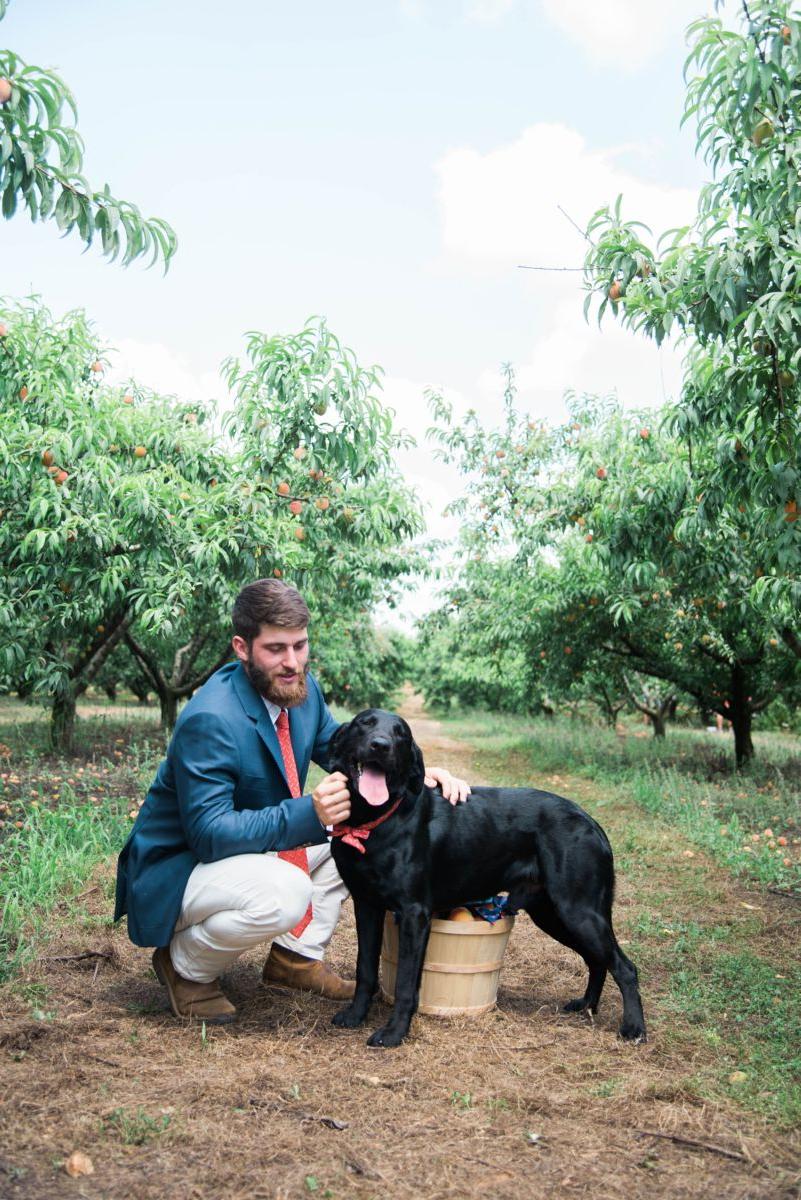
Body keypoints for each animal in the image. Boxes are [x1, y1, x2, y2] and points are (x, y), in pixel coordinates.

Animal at [326, 705, 642, 1046]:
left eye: (402, 735)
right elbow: (365, 969)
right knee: (598, 960)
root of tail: (591, 821)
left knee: (625, 967)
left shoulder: (414, 914)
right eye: (364, 723)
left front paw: (394, 1032)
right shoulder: (366, 905)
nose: (381, 745)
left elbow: (406, 984)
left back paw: (634, 1028)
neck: (374, 820)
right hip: (554, 914)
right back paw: (587, 1005)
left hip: (578, 911)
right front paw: (355, 1016)